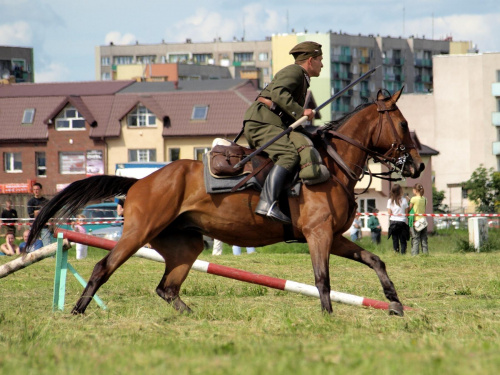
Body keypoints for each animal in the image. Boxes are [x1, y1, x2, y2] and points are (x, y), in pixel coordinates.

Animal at [27, 88, 422, 318]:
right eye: (403, 125)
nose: (417, 166)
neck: (333, 163)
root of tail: (141, 182)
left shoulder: (333, 236)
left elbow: (375, 260)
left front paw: (394, 303)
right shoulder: (318, 234)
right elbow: (322, 279)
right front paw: (327, 318)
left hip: (185, 244)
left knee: (167, 288)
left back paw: (193, 317)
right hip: (137, 235)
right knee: (103, 267)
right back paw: (77, 311)